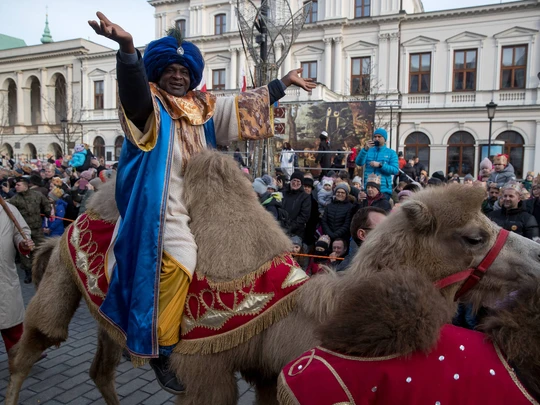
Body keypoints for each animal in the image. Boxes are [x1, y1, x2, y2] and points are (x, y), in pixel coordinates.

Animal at [4, 149, 540, 404]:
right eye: (473, 235)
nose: (536, 255)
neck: (296, 313)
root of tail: (74, 218)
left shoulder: (265, 372)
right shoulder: (206, 372)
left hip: (113, 314)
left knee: (101, 369)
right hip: (63, 274)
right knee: (38, 338)